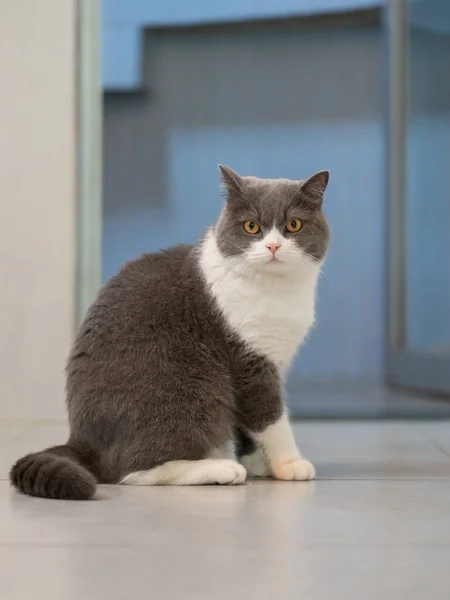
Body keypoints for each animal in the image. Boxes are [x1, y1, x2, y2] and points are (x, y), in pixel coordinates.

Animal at [10, 165, 328, 502]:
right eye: (251, 226)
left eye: (293, 224)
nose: (273, 246)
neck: (275, 289)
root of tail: (82, 442)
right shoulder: (249, 362)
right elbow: (271, 418)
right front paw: (289, 463)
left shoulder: (267, 363)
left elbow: (249, 422)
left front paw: (259, 464)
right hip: (191, 391)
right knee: (133, 469)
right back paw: (219, 469)